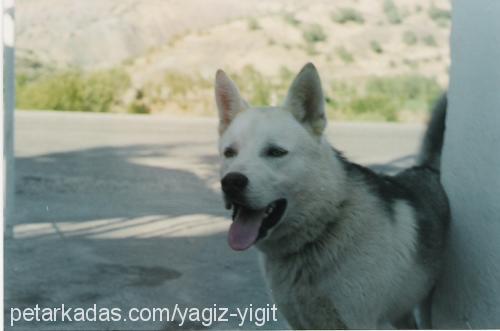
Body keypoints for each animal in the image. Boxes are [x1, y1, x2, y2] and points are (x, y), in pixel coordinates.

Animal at [214, 63, 450, 330]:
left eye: (275, 152)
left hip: (427, 309)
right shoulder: (298, 322)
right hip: (401, 312)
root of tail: (428, 170)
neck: (327, 225)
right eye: (229, 153)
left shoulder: (356, 323)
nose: (231, 183)